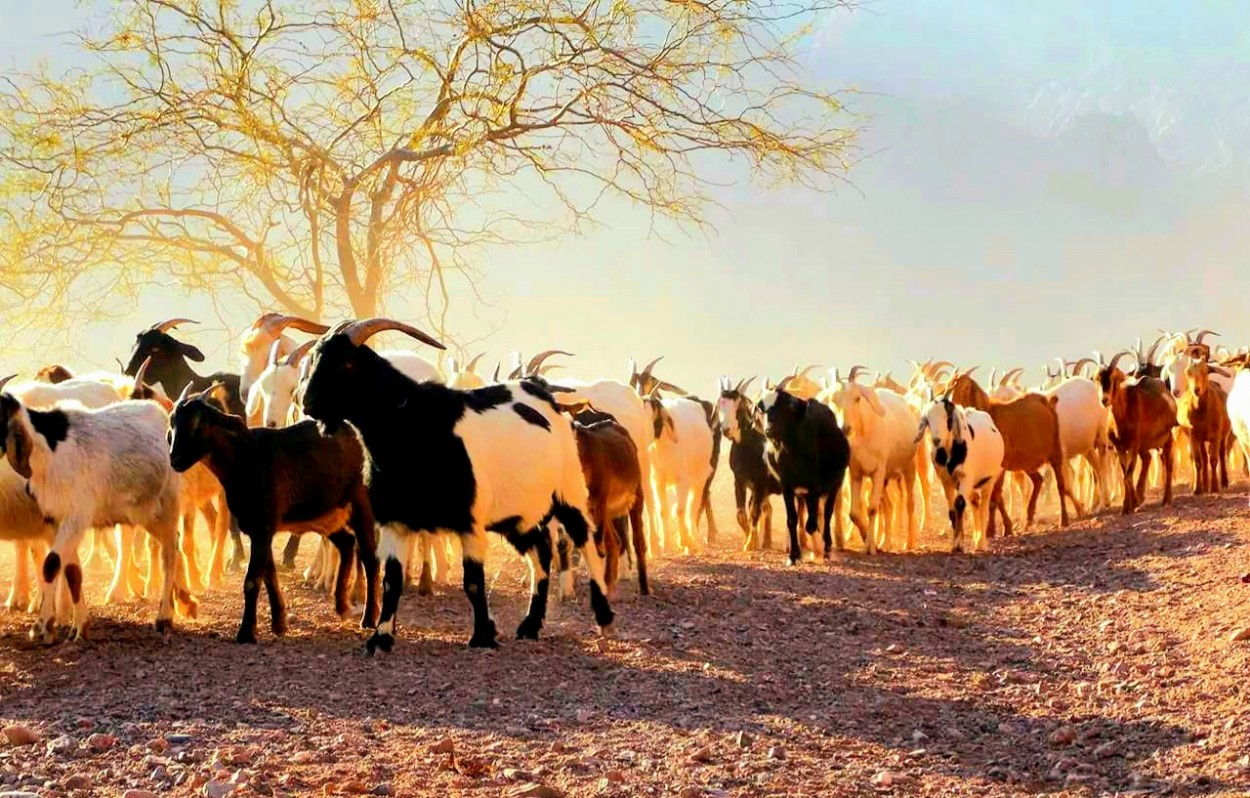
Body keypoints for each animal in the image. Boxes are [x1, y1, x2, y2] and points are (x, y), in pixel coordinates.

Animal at [168, 385, 377, 645]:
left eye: (198, 423)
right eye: (172, 422)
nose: (174, 459)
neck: (245, 456)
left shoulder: (263, 525)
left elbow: (252, 580)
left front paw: (246, 632)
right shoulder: (258, 528)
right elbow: (269, 575)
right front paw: (279, 623)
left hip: (361, 505)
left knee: (369, 557)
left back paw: (369, 618)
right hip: (324, 515)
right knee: (347, 543)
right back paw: (342, 606)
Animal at [945, 372, 1075, 535]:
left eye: (962, 387)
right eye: (949, 384)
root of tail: (1047, 402)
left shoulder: (1000, 467)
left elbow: (995, 497)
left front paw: (992, 530)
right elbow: (998, 497)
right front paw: (1006, 527)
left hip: (1055, 451)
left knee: (1060, 484)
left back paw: (1063, 519)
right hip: (1025, 461)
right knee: (1038, 480)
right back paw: (1028, 519)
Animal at [1100, 352, 1175, 515]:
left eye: (1114, 378)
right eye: (1098, 379)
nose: (1104, 400)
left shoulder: (1133, 446)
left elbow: (1128, 474)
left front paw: (1130, 505)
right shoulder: (1120, 447)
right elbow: (1125, 474)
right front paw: (1127, 506)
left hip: (1167, 437)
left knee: (1168, 463)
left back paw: (1167, 499)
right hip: (1146, 444)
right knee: (1148, 458)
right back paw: (1141, 495)